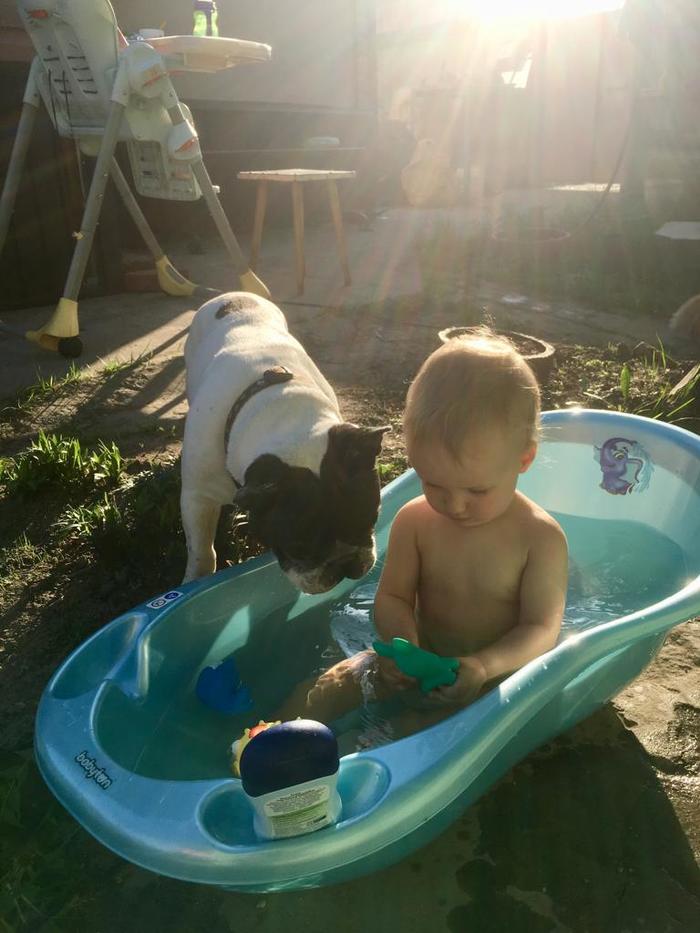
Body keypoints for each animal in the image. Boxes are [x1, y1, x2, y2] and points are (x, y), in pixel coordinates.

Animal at [180, 294, 388, 592]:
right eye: (297, 547)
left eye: (372, 518)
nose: (344, 563)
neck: (280, 413)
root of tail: (231, 295)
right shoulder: (197, 497)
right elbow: (201, 552)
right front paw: (196, 579)